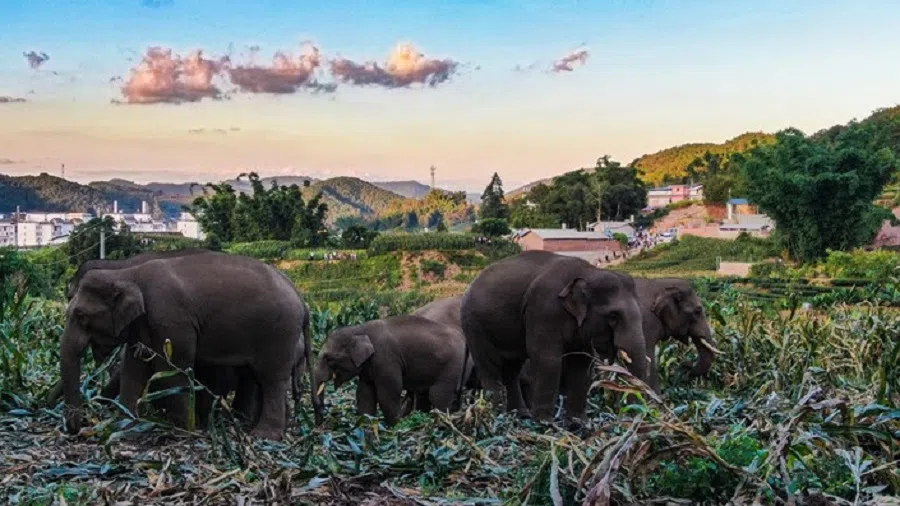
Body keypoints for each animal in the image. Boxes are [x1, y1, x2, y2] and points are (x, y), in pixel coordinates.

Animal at [61, 251, 316, 440]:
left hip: (278, 332)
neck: (126, 272)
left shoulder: (169, 318)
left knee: (271, 378)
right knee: (259, 378)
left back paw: (263, 435)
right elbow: (133, 368)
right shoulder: (144, 324)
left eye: (81, 316)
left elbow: (171, 369)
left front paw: (187, 428)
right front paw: (123, 426)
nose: (77, 429)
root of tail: (301, 300)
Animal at [312, 314, 473, 426]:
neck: (359, 329)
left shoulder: (386, 358)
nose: (319, 424)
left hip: (453, 366)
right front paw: (366, 424)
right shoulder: (368, 366)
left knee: (438, 396)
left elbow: (387, 393)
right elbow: (365, 394)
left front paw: (395, 426)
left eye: (328, 358)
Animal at [459, 250, 648, 423]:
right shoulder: (543, 309)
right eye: (613, 317)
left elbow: (581, 362)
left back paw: (520, 415)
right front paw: (544, 423)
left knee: (511, 370)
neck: (588, 272)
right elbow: (547, 358)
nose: (632, 417)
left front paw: (578, 424)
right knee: (490, 368)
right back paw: (493, 416)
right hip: (475, 327)